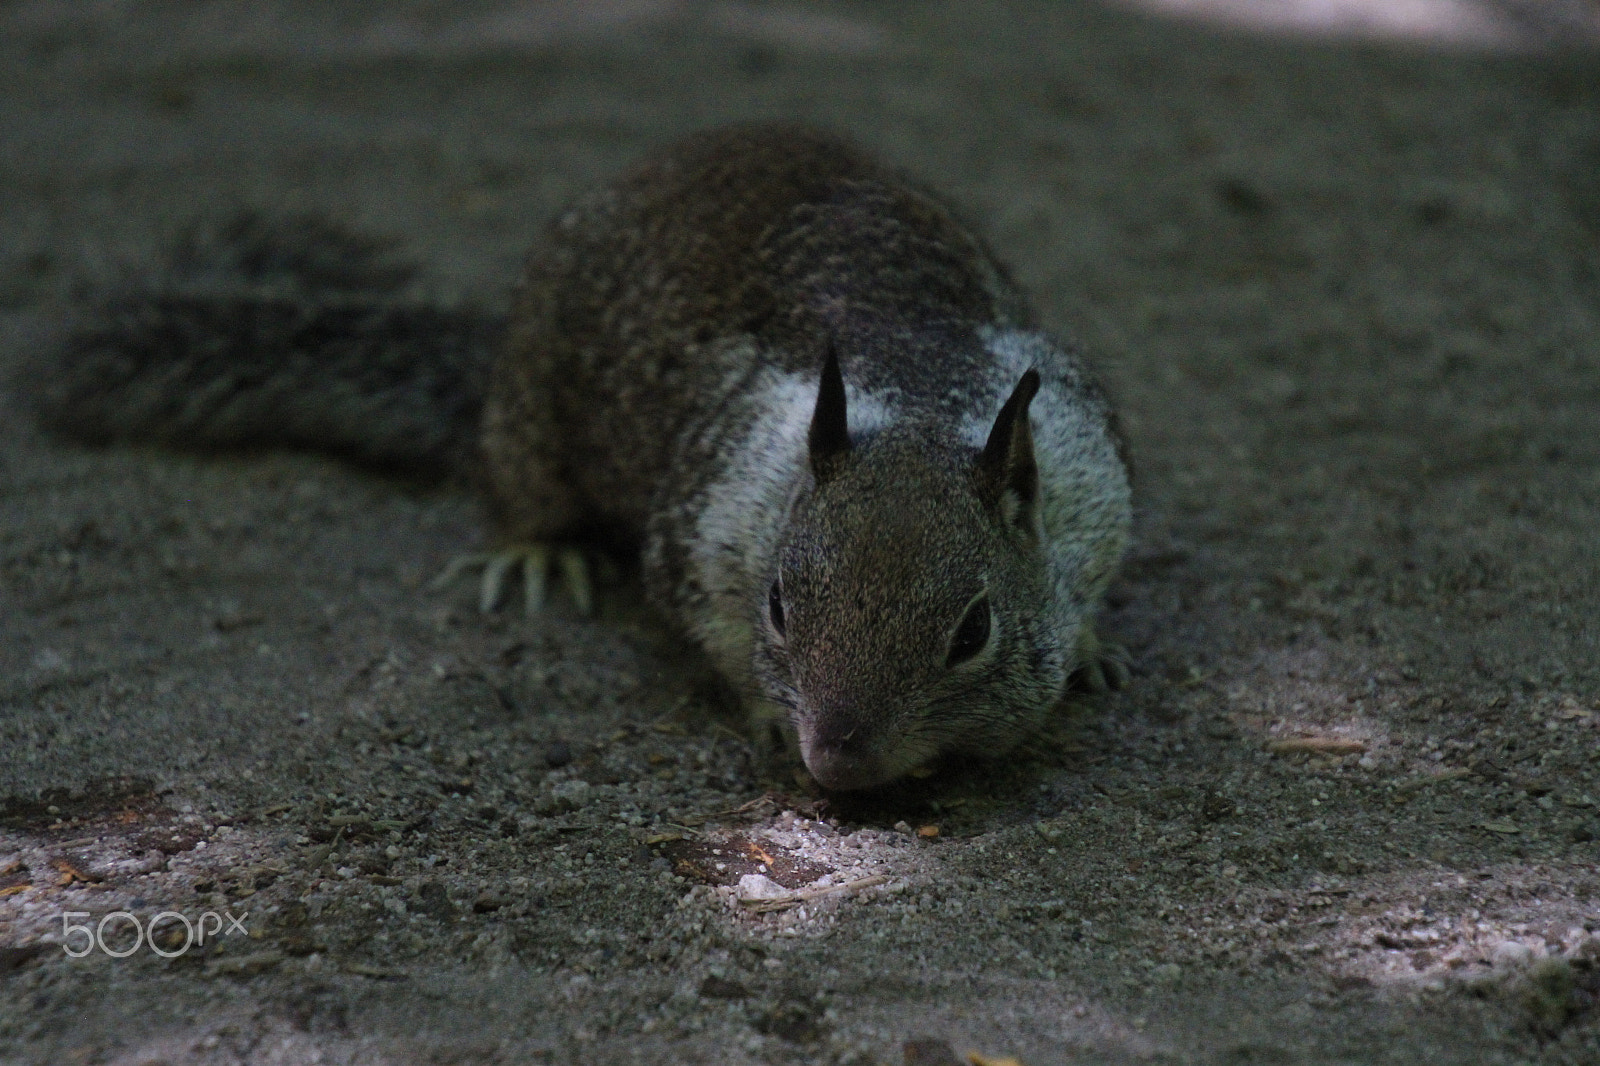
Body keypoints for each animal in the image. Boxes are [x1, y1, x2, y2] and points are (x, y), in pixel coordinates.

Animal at [40, 122, 1139, 787]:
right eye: (781, 606)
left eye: (972, 632)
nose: (837, 759)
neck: (911, 404)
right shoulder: (705, 516)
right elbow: (704, 625)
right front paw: (767, 713)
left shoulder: (1091, 474)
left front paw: (1085, 645)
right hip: (532, 404)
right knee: (522, 482)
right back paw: (537, 551)